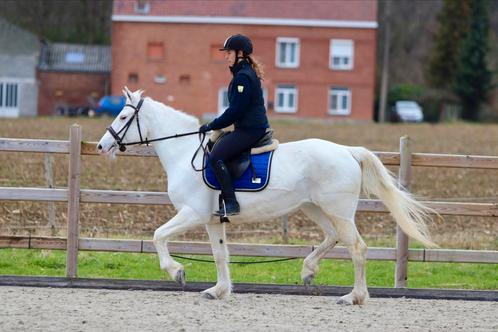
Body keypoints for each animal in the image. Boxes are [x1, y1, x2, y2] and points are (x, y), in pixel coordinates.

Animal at [97, 87, 436, 304]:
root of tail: (347, 151)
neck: (183, 153)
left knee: (357, 248)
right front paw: (218, 291)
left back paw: (354, 297)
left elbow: (158, 235)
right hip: (315, 208)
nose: (102, 145)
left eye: (124, 117)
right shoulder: (212, 220)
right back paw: (308, 270)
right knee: (332, 238)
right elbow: (219, 254)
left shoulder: (192, 214)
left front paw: (177, 272)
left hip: (337, 211)